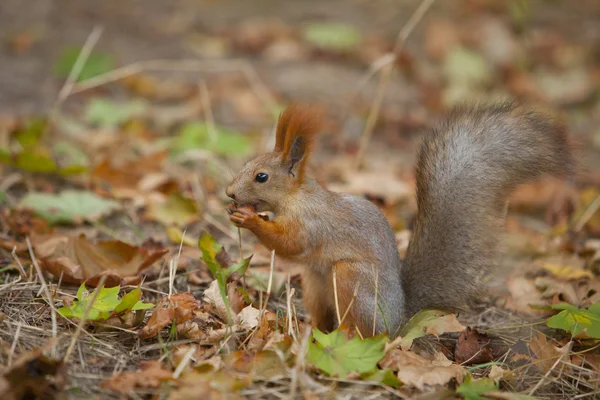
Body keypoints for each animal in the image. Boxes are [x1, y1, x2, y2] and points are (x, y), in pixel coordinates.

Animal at [227, 101, 576, 336]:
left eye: (261, 176)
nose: (229, 194)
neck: (296, 197)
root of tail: (399, 318)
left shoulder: (312, 224)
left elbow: (290, 244)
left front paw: (249, 220)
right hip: (315, 282)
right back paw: (310, 328)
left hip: (351, 278)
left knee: (366, 332)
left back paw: (345, 335)